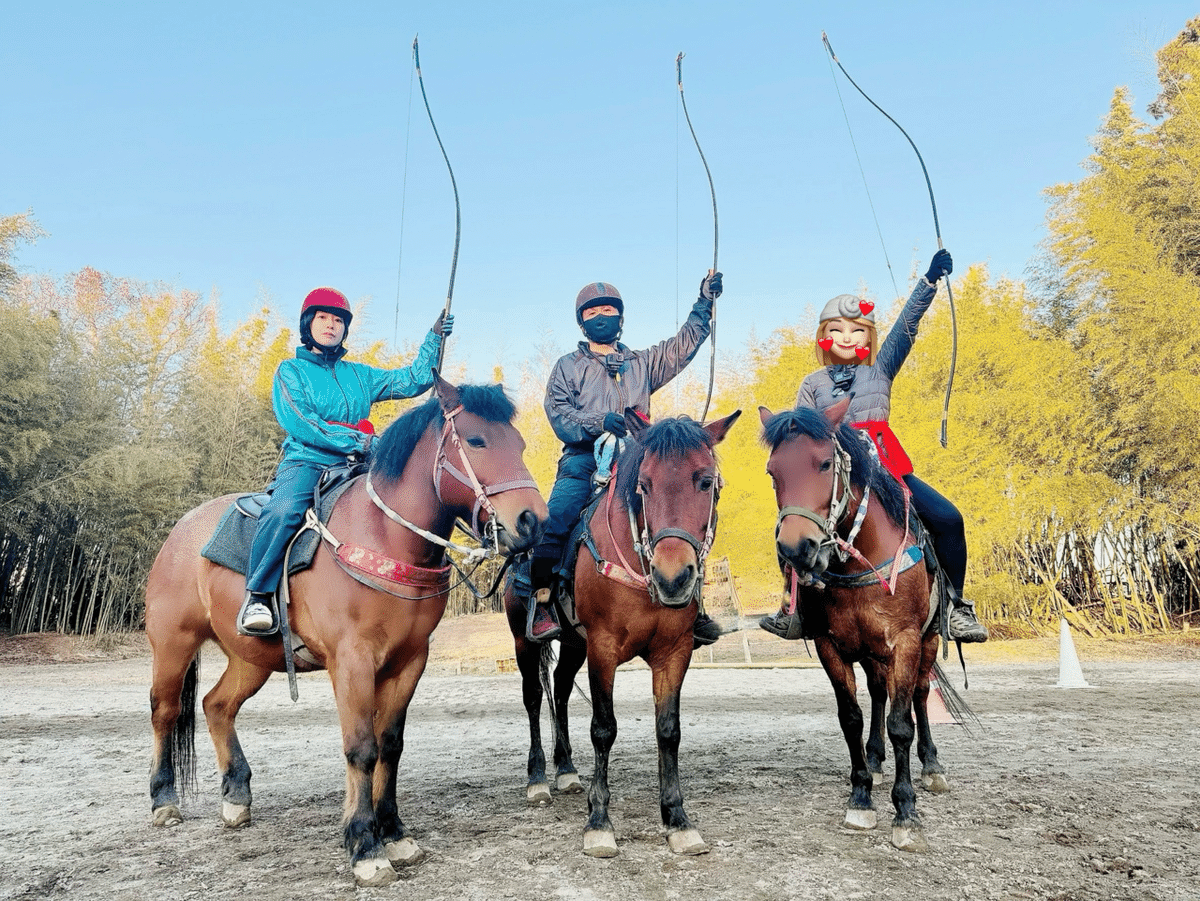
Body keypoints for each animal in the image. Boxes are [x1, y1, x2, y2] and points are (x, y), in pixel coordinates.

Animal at [145, 375, 547, 887]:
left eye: (519, 444)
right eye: (477, 440)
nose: (533, 521)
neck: (385, 538)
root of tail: (180, 531)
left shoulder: (409, 661)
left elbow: (390, 746)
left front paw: (393, 832)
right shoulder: (352, 661)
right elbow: (361, 748)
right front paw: (363, 844)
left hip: (252, 658)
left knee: (217, 706)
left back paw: (236, 797)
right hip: (173, 644)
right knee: (164, 711)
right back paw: (163, 800)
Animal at [503, 410, 741, 858]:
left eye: (705, 481)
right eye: (643, 484)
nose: (672, 578)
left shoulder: (674, 651)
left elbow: (668, 731)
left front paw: (677, 819)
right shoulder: (603, 648)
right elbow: (603, 728)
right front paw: (599, 822)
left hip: (573, 644)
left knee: (561, 690)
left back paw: (566, 769)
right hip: (526, 642)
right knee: (533, 698)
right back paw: (538, 776)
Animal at [759, 397, 964, 853]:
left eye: (823, 464)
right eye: (773, 472)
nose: (796, 549)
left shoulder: (905, 641)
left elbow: (901, 724)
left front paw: (906, 813)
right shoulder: (829, 646)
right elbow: (851, 716)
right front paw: (861, 796)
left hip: (927, 641)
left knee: (919, 695)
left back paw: (932, 765)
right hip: (870, 652)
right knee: (877, 692)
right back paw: (875, 758)